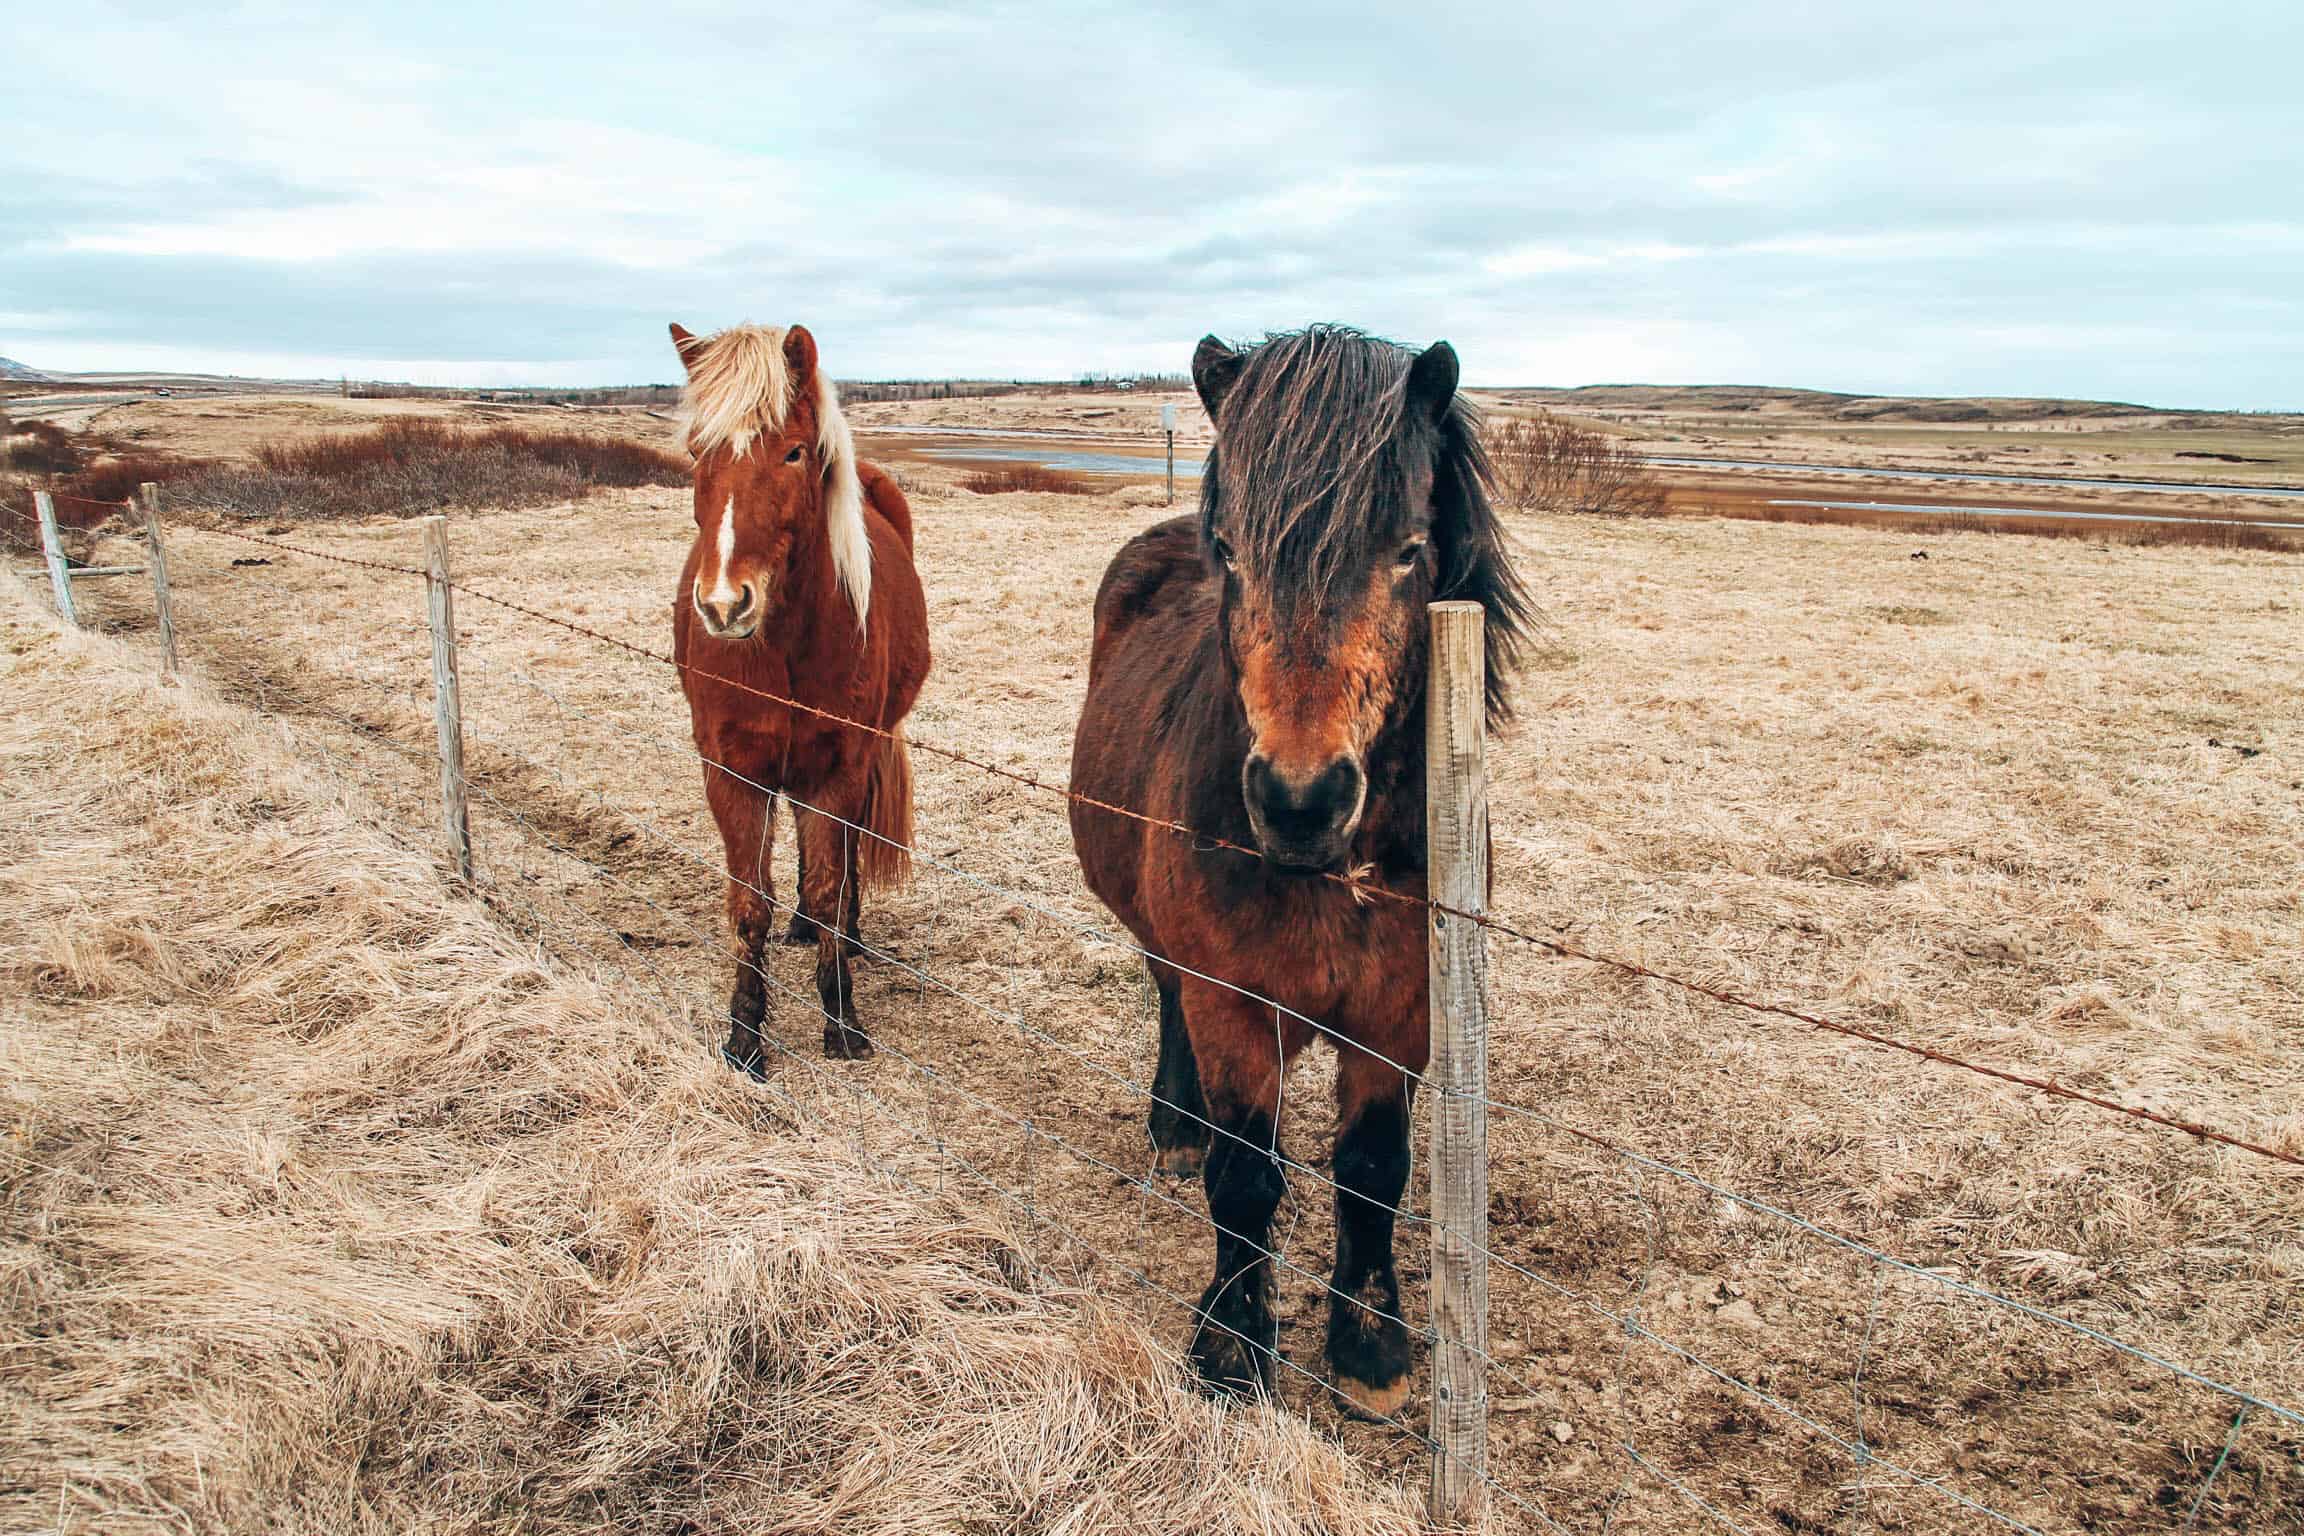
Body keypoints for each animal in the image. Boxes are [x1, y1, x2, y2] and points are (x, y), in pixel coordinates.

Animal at [668, 322, 926, 1068]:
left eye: (792, 451)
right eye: (697, 451)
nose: (725, 605)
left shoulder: (841, 765)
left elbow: (831, 879)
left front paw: (841, 1019)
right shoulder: (732, 770)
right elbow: (750, 900)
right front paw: (745, 1034)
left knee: (846, 853)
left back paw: (842, 935)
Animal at [1064, 322, 1529, 1418]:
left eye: (1408, 550)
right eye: (1232, 550)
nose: (1300, 802)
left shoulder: (1402, 1015)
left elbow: (1371, 1169)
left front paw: (1369, 1346)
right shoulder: (1233, 1003)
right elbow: (1246, 1178)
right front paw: (1234, 1345)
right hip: (1172, 955)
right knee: (1165, 999)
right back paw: (1175, 1125)